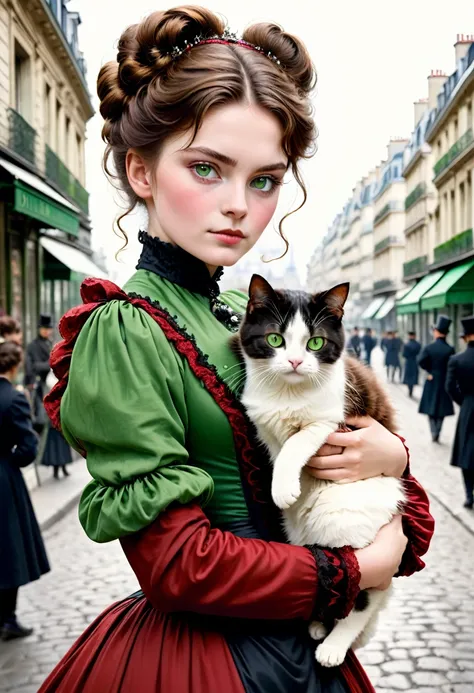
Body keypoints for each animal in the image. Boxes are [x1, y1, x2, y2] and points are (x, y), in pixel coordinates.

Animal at [235, 274, 406, 668]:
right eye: (275, 339)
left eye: (316, 343)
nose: (297, 361)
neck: (288, 393)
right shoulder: (262, 421)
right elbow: (278, 447)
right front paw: (282, 484)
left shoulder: (333, 422)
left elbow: (298, 442)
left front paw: (283, 486)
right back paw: (316, 624)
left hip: (349, 528)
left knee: (361, 598)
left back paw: (333, 646)